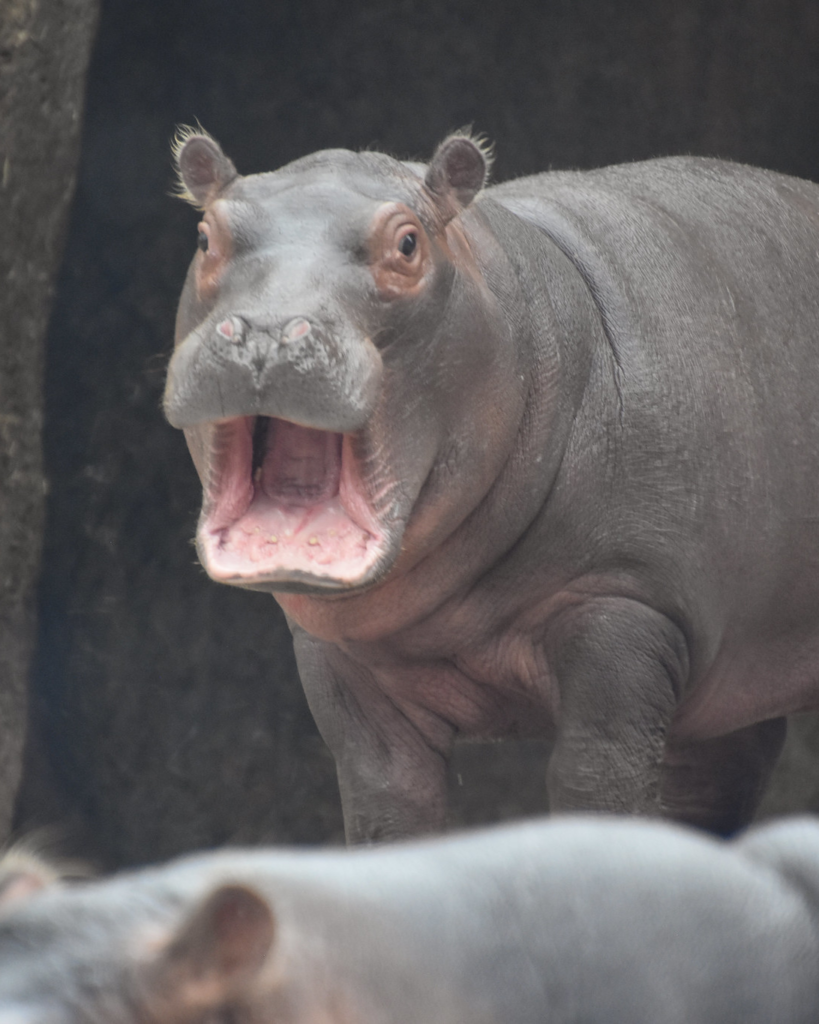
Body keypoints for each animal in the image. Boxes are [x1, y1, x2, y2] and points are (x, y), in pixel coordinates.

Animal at [165, 128, 819, 842]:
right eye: (205, 235)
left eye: (408, 243)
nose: (267, 331)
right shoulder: (337, 660)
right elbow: (389, 805)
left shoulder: (626, 608)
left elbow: (596, 784)